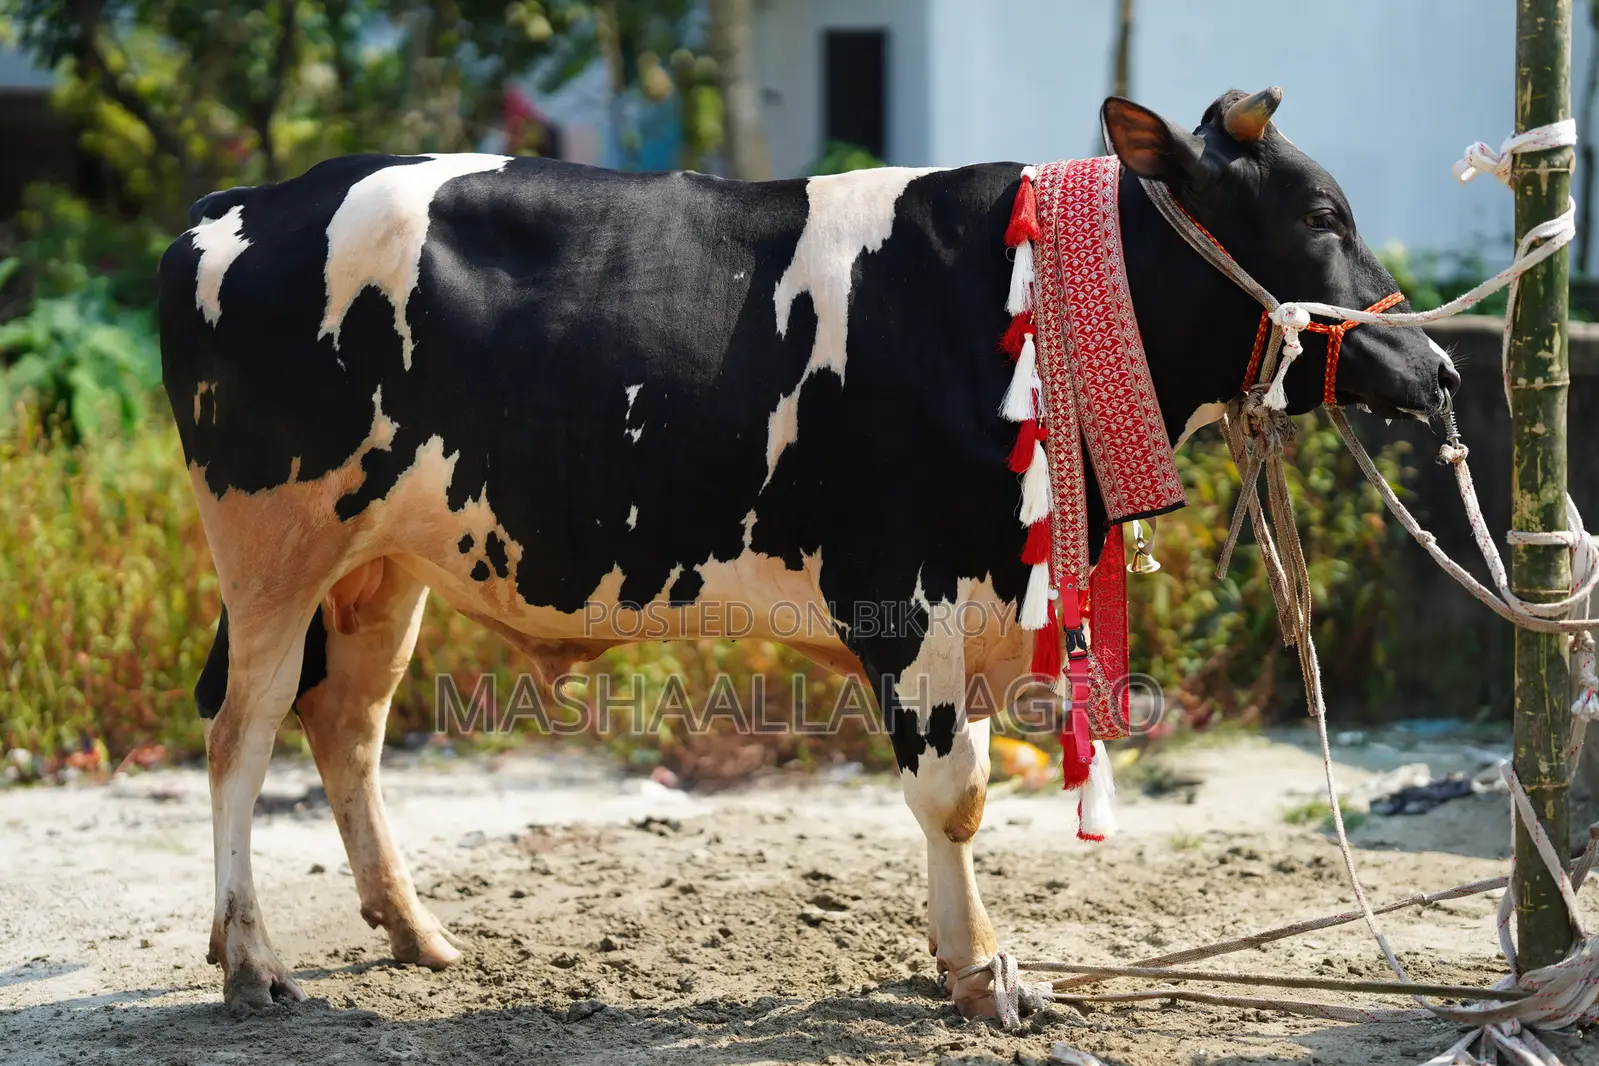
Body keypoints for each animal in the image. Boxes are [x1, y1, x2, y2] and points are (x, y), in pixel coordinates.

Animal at [158, 88, 1459, 1020]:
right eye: (1321, 216)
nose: (1442, 368)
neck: (1020, 314)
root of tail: (242, 201)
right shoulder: (906, 595)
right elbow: (954, 792)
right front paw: (984, 976)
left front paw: (957, 961)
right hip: (274, 544)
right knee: (241, 731)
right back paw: (252, 963)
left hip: (380, 563)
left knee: (348, 726)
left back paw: (415, 933)